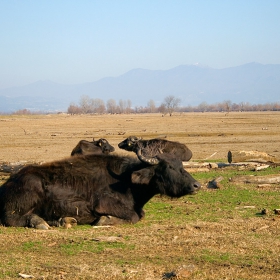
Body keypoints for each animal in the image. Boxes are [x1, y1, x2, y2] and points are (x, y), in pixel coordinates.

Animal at [0, 152, 201, 229]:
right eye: (168, 167)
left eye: (181, 165)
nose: (196, 185)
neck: (127, 181)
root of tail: (8, 183)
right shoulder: (104, 204)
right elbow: (134, 216)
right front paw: (105, 220)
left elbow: (140, 215)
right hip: (23, 199)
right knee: (11, 218)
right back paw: (39, 222)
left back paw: (63, 221)